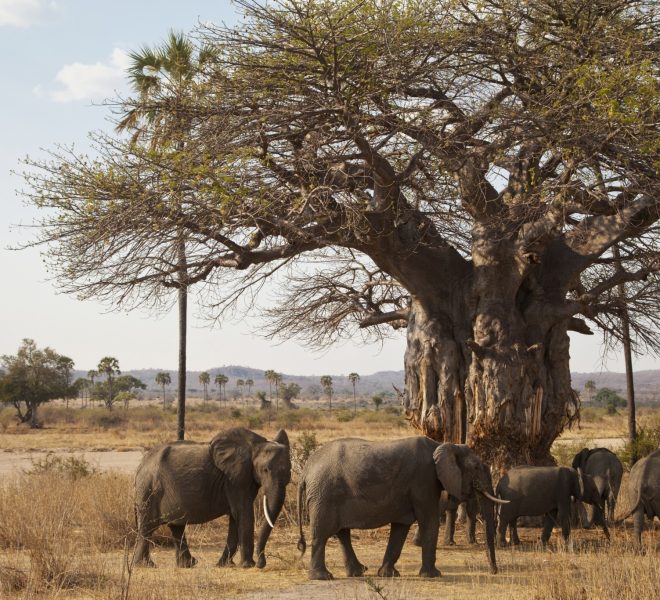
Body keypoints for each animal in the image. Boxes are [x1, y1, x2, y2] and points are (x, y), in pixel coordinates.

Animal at [133, 427, 291, 568]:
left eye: (289, 471)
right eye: (265, 470)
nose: (261, 563)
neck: (256, 446)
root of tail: (141, 464)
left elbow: (236, 516)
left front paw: (225, 565)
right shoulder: (234, 479)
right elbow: (243, 513)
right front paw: (247, 565)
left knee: (176, 526)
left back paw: (187, 565)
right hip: (148, 488)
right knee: (148, 527)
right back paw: (145, 565)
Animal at [296, 437, 507, 580]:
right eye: (477, 467)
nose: (494, 571)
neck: (444, 445)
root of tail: (306, 470)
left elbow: (400, 527)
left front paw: (388, 574)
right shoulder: (424, 480)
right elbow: (429, 521)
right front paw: (433, 575)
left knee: (342, 533)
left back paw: (358, 572)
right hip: (324, 495)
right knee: (322, 534)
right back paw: (323, 577)